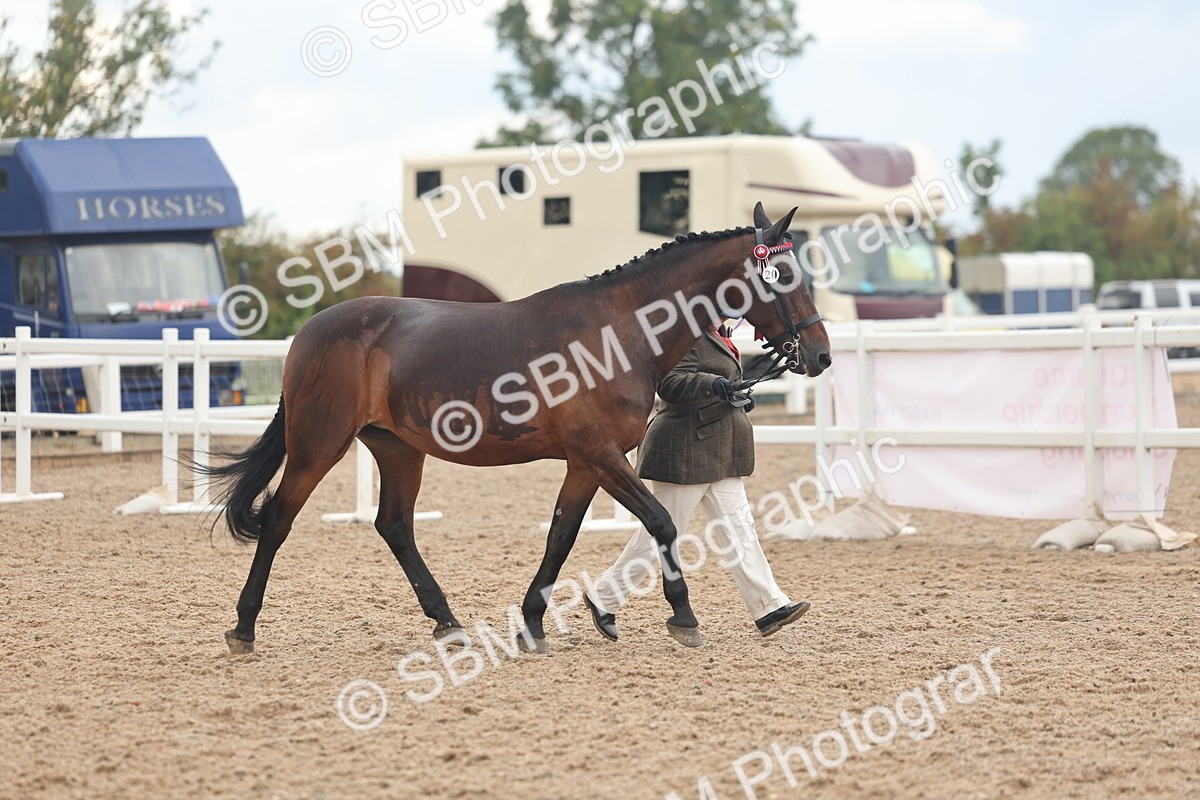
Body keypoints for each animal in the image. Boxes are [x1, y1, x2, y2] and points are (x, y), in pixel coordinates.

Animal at [203, 202, 831, 654]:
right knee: (279, 520)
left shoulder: (586, 462)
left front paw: (534, 623)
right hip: (318, 444)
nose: (820, 355)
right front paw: (683, 615)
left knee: (395, 526)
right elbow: (660, 523)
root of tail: (311, 330)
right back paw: (244, 628)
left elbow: (561, 536)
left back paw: (448, 622)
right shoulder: (601, 455)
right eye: (781, 275)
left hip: (399, 449)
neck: (618, 331)